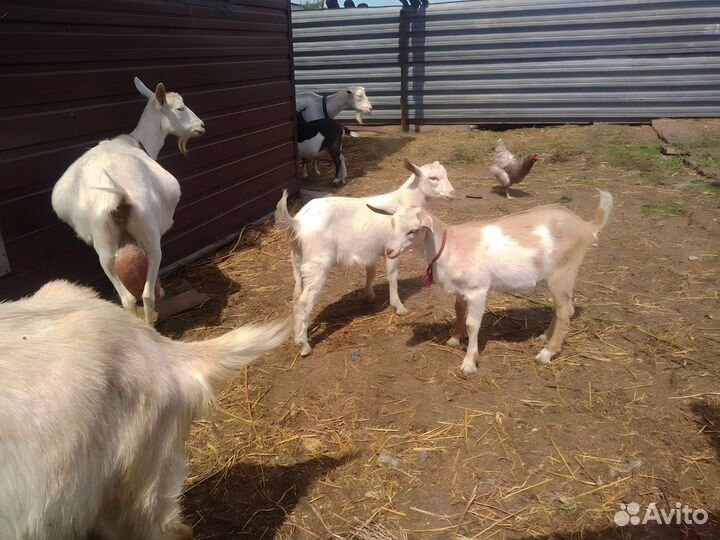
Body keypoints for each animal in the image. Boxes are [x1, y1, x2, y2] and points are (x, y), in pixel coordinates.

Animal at [51, 77, 205, 324]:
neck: (135, 141)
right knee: (147, 294)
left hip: (103, 244)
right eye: (180, 108)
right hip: (149, 235)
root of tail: (117, 197)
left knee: (126, 297)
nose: (201, 126)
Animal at [275, 159, 455, 356]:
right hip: (317, 263)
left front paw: (368, 296)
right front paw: (398, 307)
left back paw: (298, 334)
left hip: (297, 259)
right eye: (433, 178)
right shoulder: (392, 248)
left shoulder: (371, 251)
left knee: (296, 295)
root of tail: (297, 222)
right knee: (304, 301)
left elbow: (371, 272)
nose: (452, 193)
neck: (404, 201)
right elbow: (392, 275)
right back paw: (304, 345)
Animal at [368, 190, 613, 374]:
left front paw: (469, 363)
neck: (448, 246)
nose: (390, 251)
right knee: (560, 307)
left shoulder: (478, 289)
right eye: (392, 224)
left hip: (564, 271)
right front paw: (454, 339)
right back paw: (545, 336)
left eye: (413, 230)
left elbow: (472, 324)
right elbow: (458, 310)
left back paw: (546, 353)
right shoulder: (461, 289)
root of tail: (586, 226)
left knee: (566, 311)